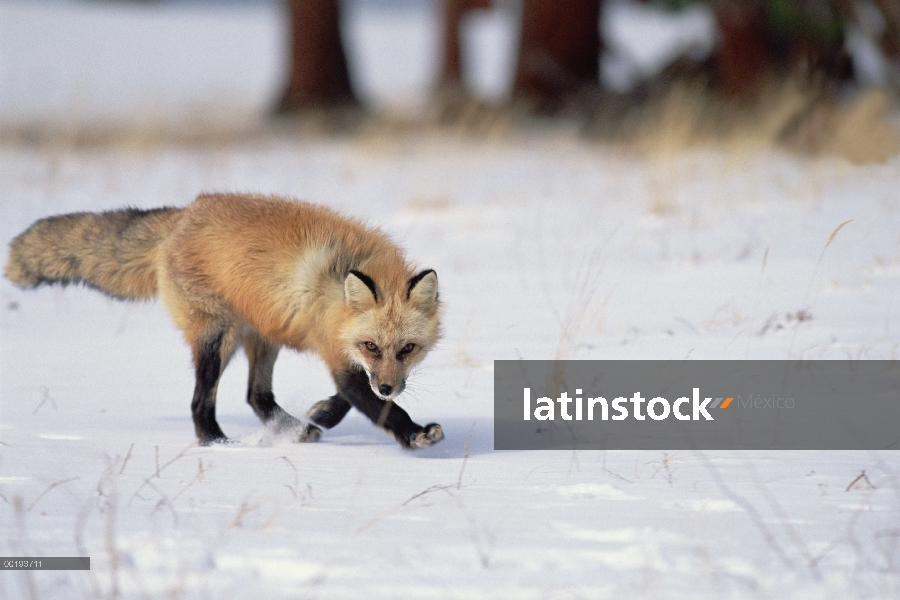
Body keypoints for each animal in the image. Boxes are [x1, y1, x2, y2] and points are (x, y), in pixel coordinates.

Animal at [5, 195, 444, 448]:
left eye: (407, 349)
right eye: (371, 346)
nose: (388, 386)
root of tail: (184, 214)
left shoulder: (342, 354)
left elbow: (350, 398)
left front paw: (320, 413)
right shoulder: (338, 353)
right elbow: (374, 405)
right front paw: (413, 433)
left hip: (263, 336)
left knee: (256, 396)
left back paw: (294, 429)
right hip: (217, 340)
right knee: (202, 402)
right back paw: (216, 443)